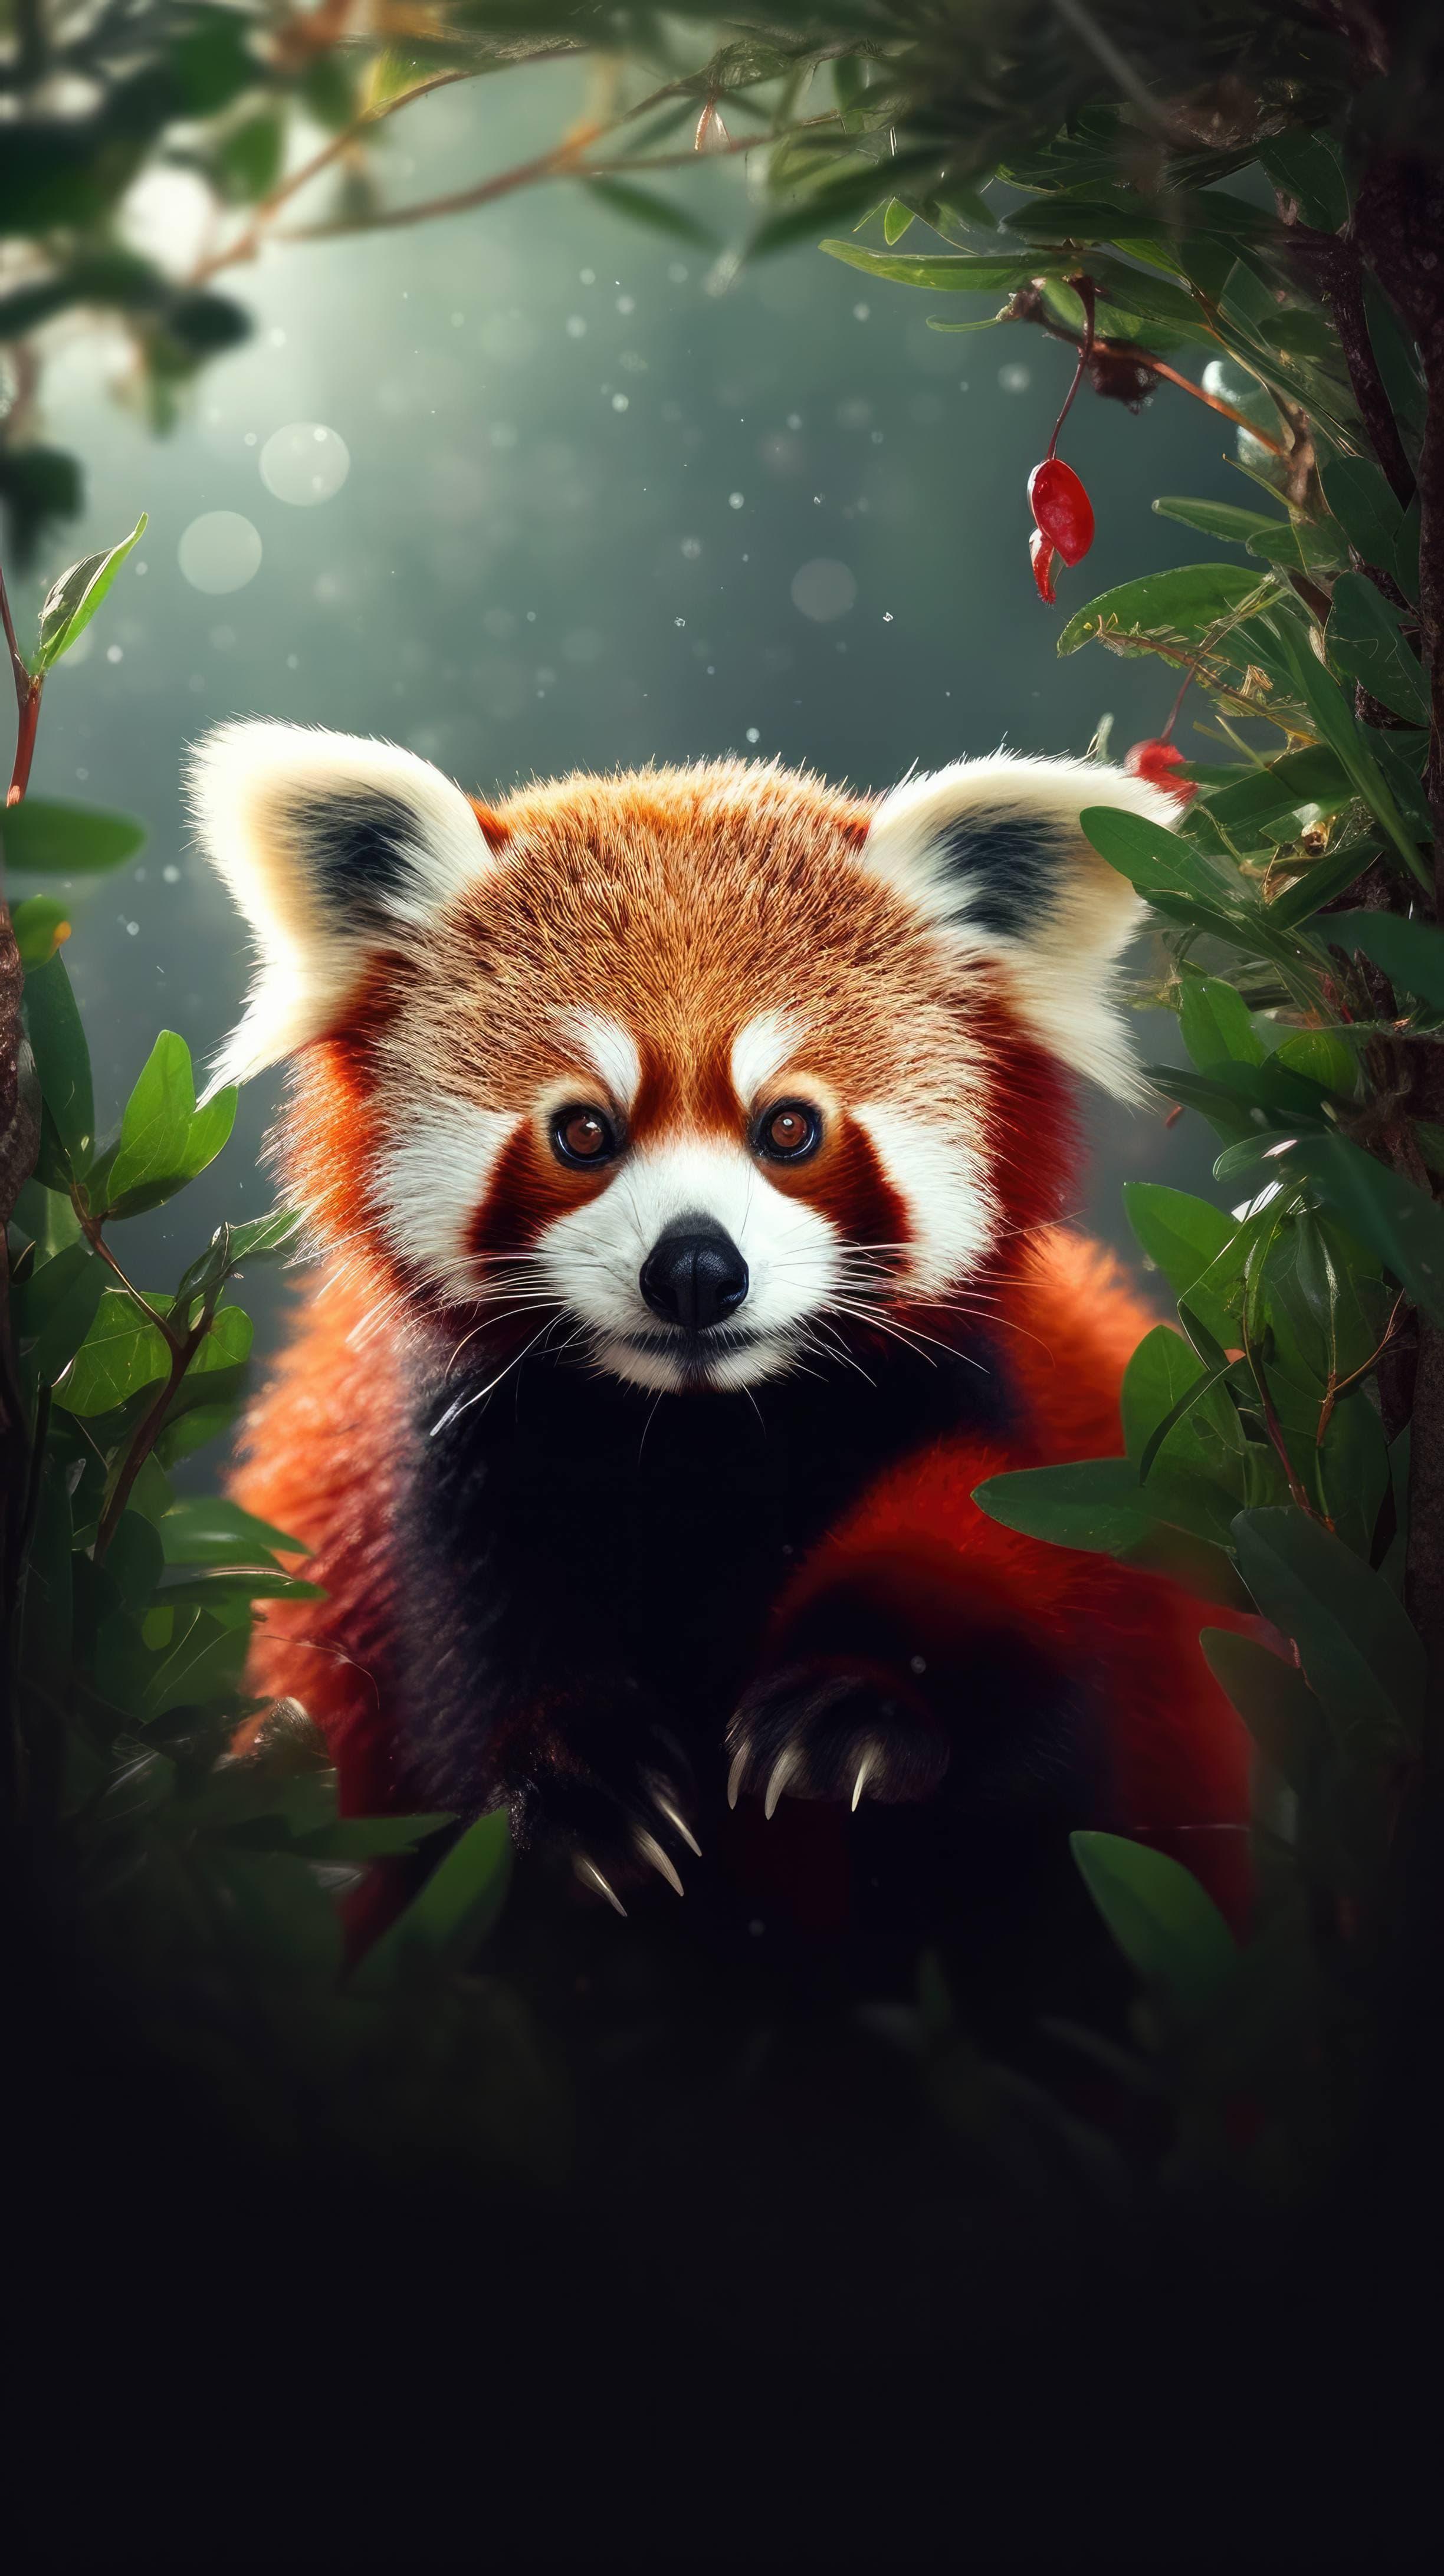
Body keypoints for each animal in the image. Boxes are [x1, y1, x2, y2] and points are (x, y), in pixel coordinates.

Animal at [190, 724, 1249, 1957]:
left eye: (787, 1126)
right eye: (583, 1131)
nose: (695, 1268)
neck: (696, 1437)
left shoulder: (970, 1422)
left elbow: (1002, 1607)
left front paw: (856, 1700)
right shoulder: (452, 1474)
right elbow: (474, 1684)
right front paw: (576, 1786)